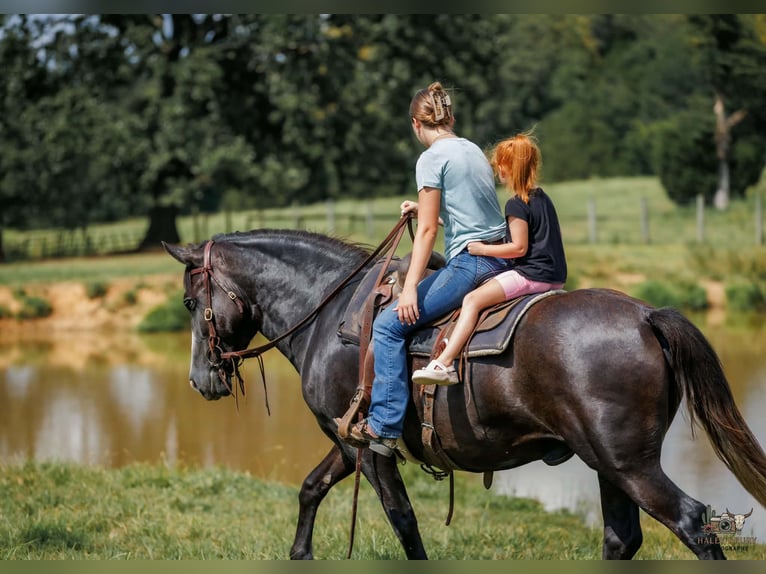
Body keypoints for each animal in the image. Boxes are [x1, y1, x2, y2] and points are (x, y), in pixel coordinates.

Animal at [163, 227, 766, 560]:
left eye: (191, 303)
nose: (199, 379)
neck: (331, 314)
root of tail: (646, 315)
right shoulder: (350, 440)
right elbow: (311, 489)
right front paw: (299, 553)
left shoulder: (371, 449)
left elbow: (403, 522)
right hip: (611, 466)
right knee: (622, 539)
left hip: (629, 464)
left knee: (693, 523)